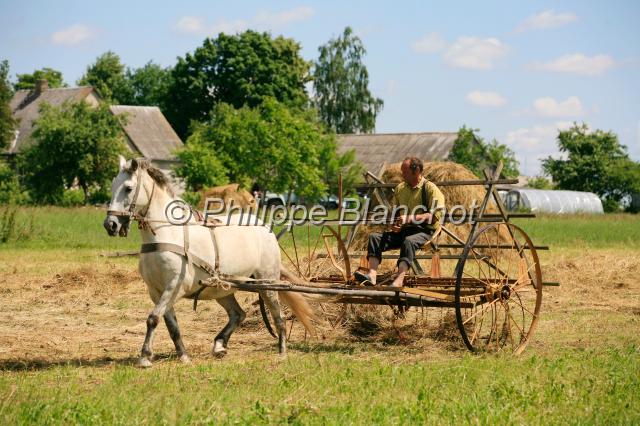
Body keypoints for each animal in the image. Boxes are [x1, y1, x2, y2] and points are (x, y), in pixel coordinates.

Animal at [103, 156, 314, 367]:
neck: (166, 234)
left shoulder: (174, 287)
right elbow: (171, 325)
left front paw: (145, 357)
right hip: (223, 288)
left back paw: (282, 351)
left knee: (278, 316)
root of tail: (264, 227)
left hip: (267, 284)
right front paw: (183, 355)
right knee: (238, 314)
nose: (110, 225)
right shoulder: (156, 291)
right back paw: (219, 345)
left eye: (128, 188)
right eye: (112, 186)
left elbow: (153, 318)